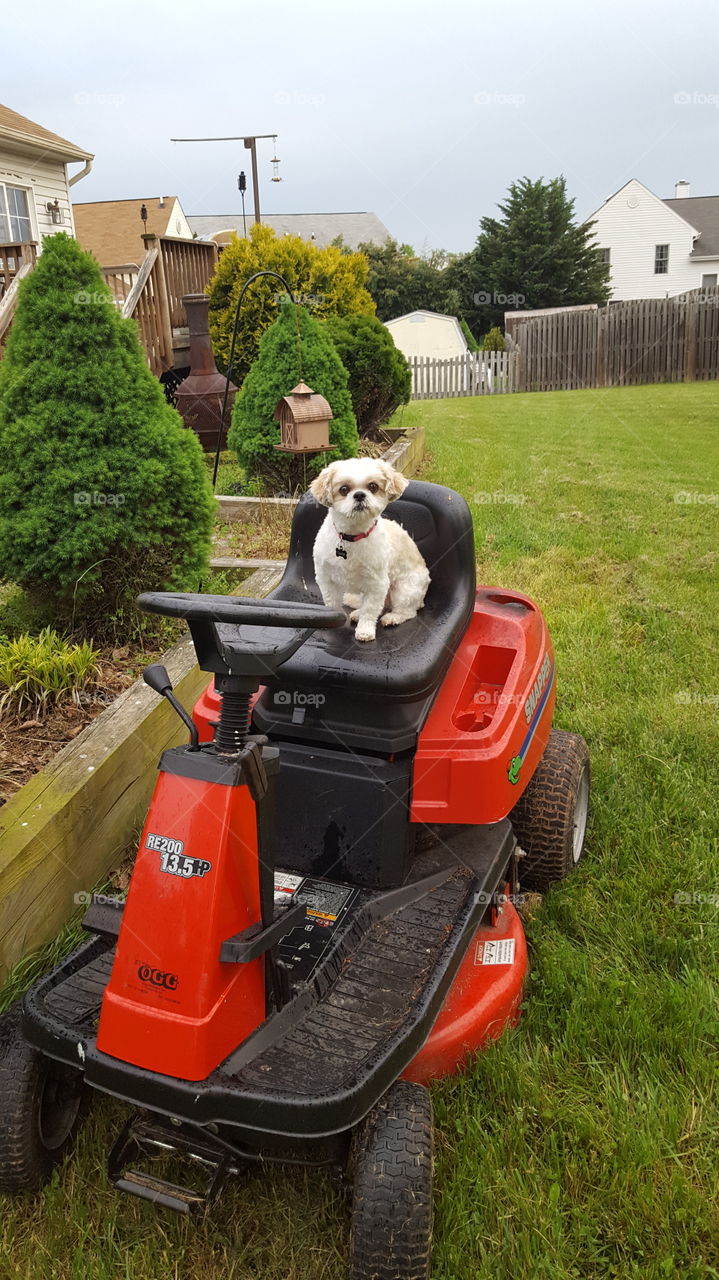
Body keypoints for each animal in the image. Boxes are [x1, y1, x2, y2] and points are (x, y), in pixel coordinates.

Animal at [307, 458, 427, 645]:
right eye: (344, 489)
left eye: (373, 486)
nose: (359, 495)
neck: (351, 537)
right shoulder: (326, 576)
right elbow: (331, 602)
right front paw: (331, 621)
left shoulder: (377, 584)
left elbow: (370, 610)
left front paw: (365, 631)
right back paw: (357, 613)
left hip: (404, 589)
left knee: (406, 611)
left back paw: (392, 617)